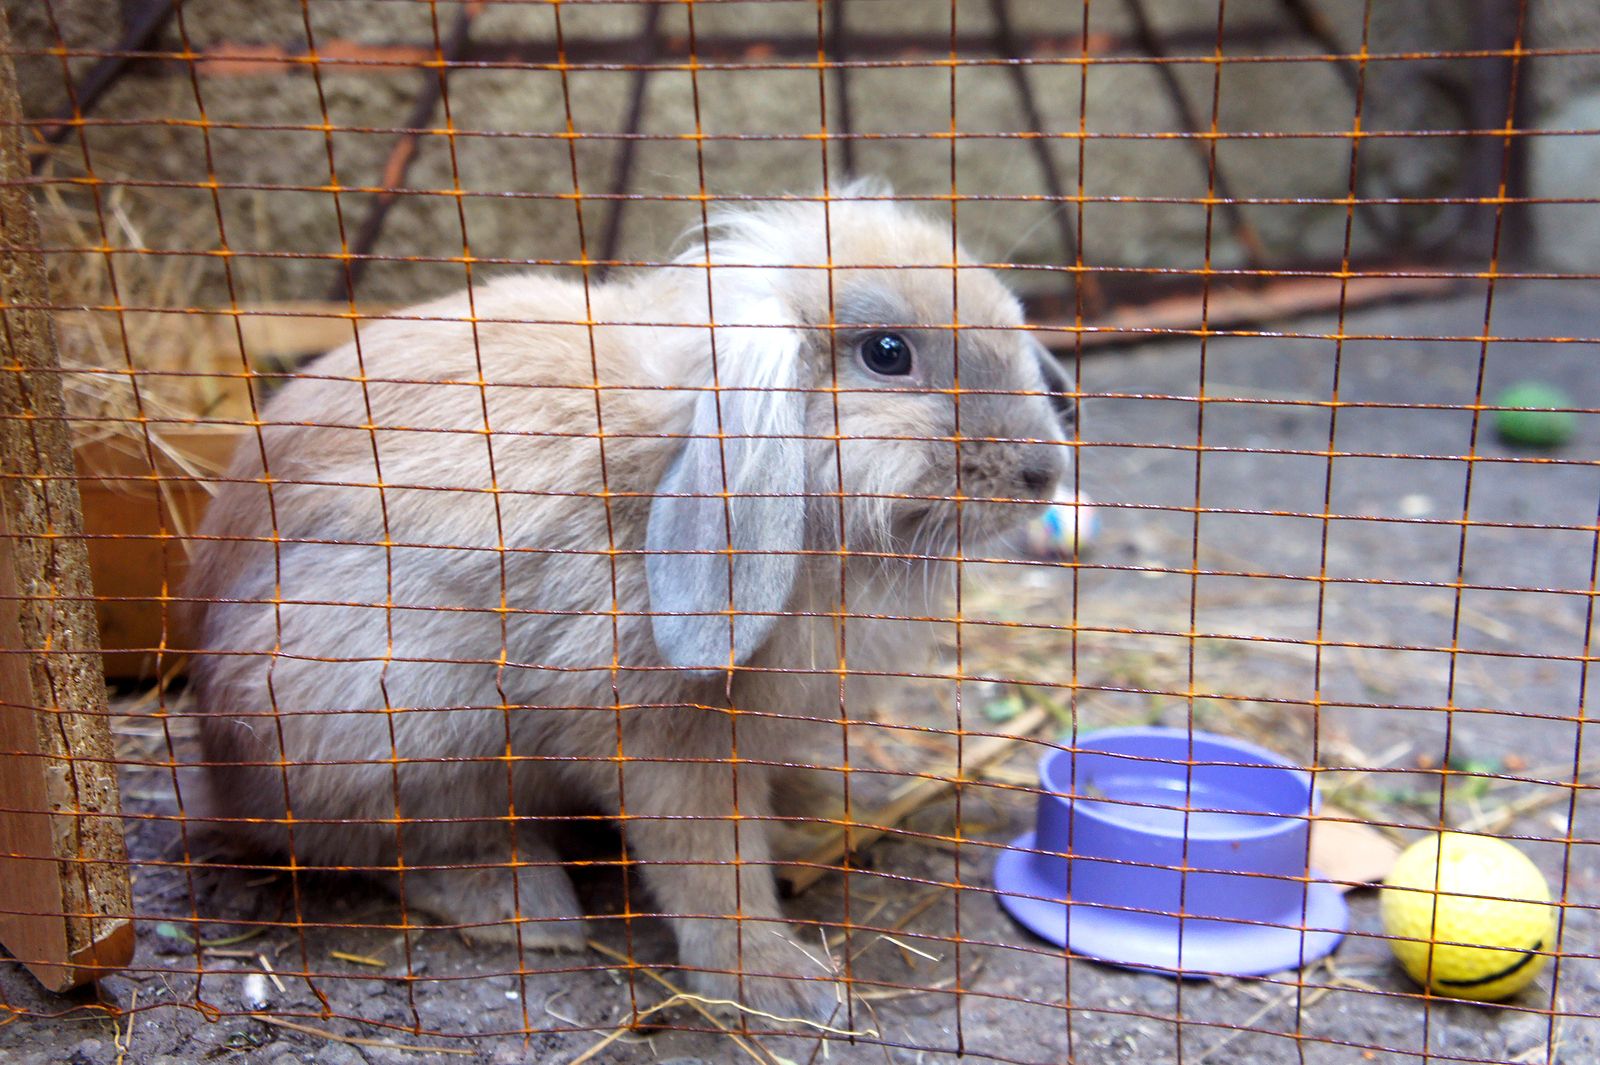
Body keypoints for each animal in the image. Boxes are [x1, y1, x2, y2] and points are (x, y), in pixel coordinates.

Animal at [181, 182, 1081, 1023]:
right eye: (887, 353)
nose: (1043, 472)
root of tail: (220, 768)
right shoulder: (658, 736)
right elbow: (708, 864)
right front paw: (783, 987)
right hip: (388, 709)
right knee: (392, 841)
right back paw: (526, 908)